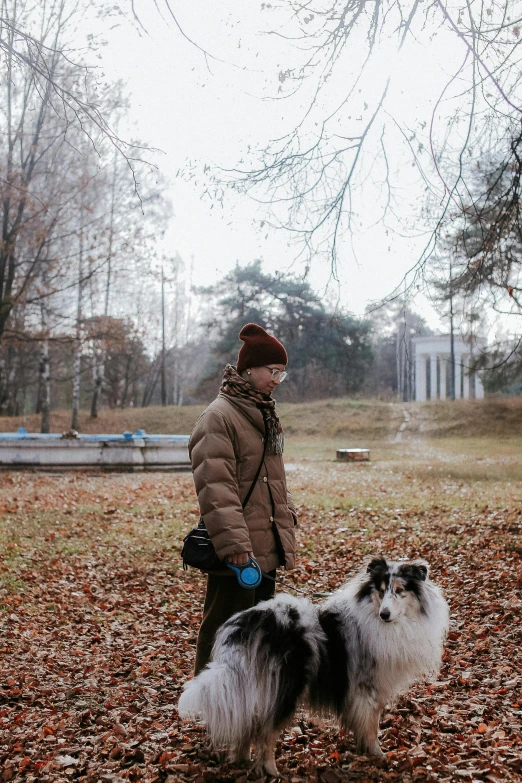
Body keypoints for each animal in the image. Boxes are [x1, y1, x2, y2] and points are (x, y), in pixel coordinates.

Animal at [179, 556, 446, 776]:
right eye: (381, 591)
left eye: (400, 590)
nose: (385, 614)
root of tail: (250, 624)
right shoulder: (367, 687)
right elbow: (371, 725)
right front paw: (377, 754)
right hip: (286, 688)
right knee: (266, 732)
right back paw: (271, 770)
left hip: (254, 687)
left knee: (248, 724)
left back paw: (243, 759)